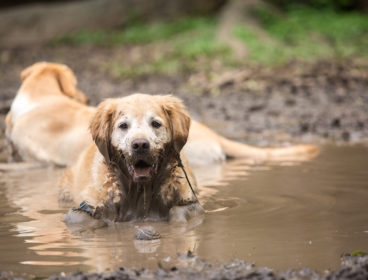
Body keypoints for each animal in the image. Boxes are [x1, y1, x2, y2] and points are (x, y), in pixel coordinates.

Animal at [60, 94, 204, 223]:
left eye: (155, 123)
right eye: (123, 125)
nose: (140, 145)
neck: (139, 191)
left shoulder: (189, 201)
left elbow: (178, 211)